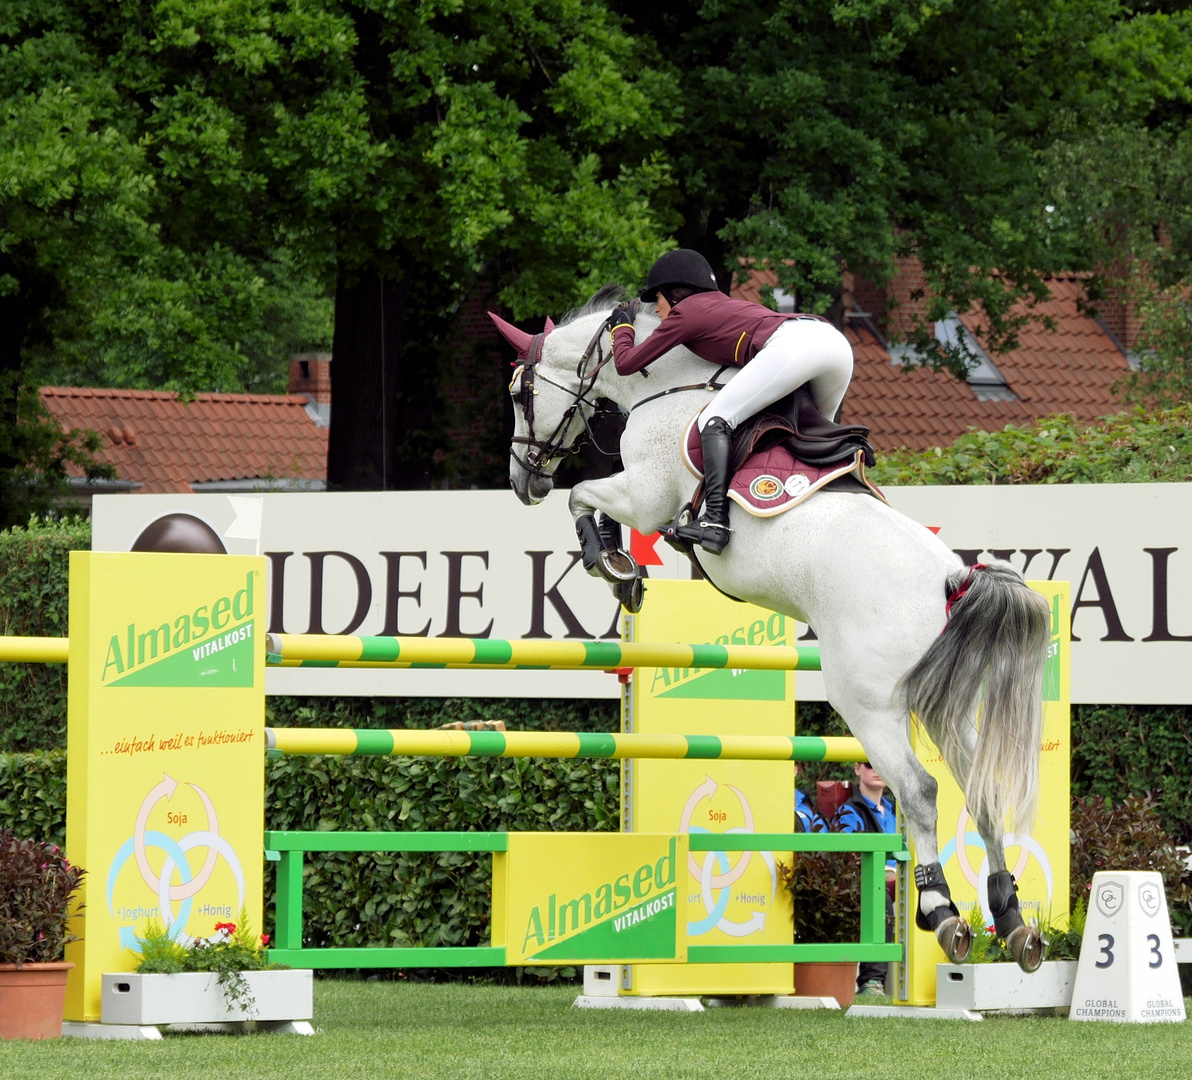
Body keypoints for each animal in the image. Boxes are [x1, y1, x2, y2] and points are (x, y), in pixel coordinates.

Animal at [493, 283, 1053, 967]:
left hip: (868, 701)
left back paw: (943, 911)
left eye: (519, 393)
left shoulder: (644, 495)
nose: (522, 480)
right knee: (980, 787)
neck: (668, 384)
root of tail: (955, 581)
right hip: (944, 703)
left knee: (919, 789)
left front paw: (613, 563)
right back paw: (1012, 917)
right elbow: (591, 501)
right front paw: (622, 569)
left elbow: (585, 496)